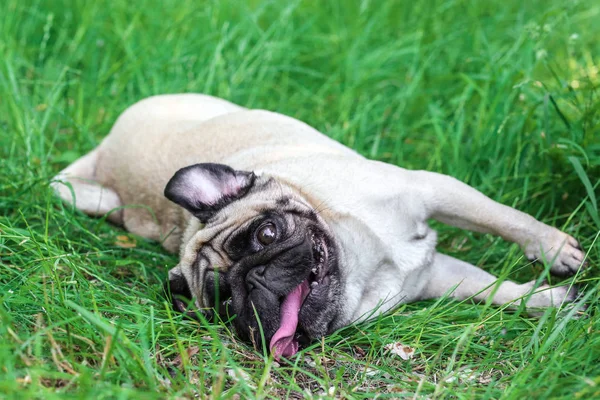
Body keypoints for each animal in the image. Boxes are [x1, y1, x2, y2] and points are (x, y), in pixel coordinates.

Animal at [51, 93, 584, 360]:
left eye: (266, 234)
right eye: (224, 302)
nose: (254, 280)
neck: (366, 264)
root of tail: (106, 153)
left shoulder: (436, 191)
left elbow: (506, 221)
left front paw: (553, 255)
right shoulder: (437, 276)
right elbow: (490, 289)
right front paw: (547, 299)